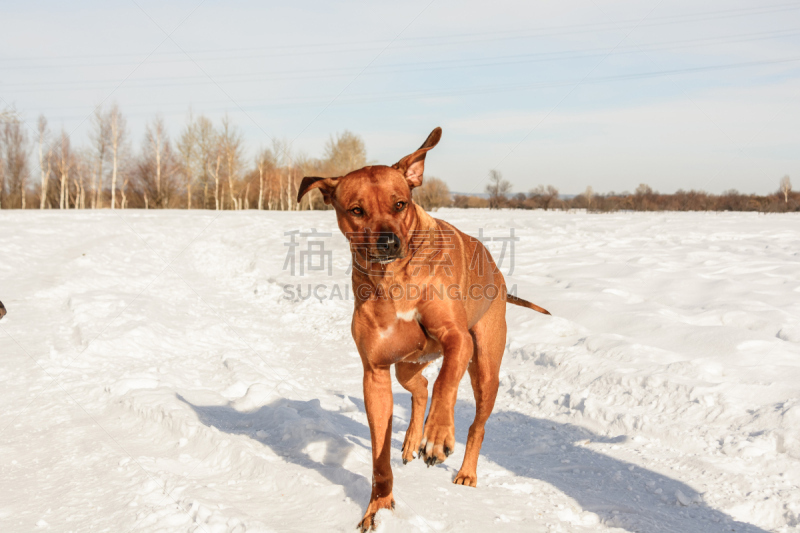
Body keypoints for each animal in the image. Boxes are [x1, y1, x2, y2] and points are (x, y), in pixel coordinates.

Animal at [296, 128, 548, 528]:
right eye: (356, 210)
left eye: (400, 204)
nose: (388, 241)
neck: (392, 279)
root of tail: (497, 273)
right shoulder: (375, 372)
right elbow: (379, 453)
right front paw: (378, 507)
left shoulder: (456, 338)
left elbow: (447, 385)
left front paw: (438, 435)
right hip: (406, 365)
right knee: (421, 387)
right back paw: (413, 439)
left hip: (484, 366)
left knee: (473, 419)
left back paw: (464, 469)